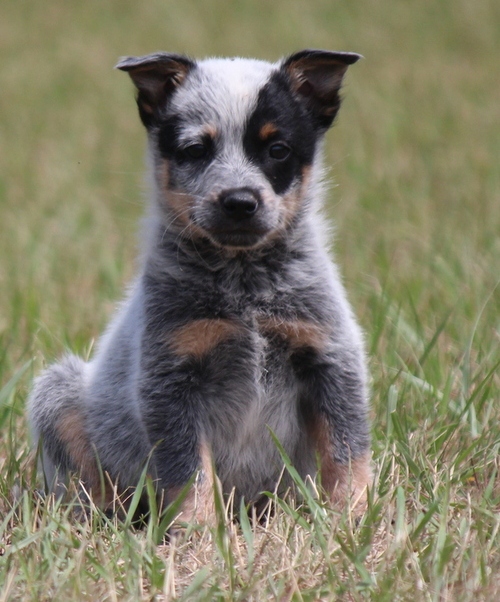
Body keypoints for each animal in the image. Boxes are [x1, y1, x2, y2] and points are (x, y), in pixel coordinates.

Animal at [27, 50, 372, 520]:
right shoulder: (170, 376)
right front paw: (199, 534)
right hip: (59, 392)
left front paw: (355, 520)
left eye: (277, 149)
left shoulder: (330, 356)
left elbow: (346, 451)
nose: (240, 201)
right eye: (195, 150)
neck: (246, 289)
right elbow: (189, 472)